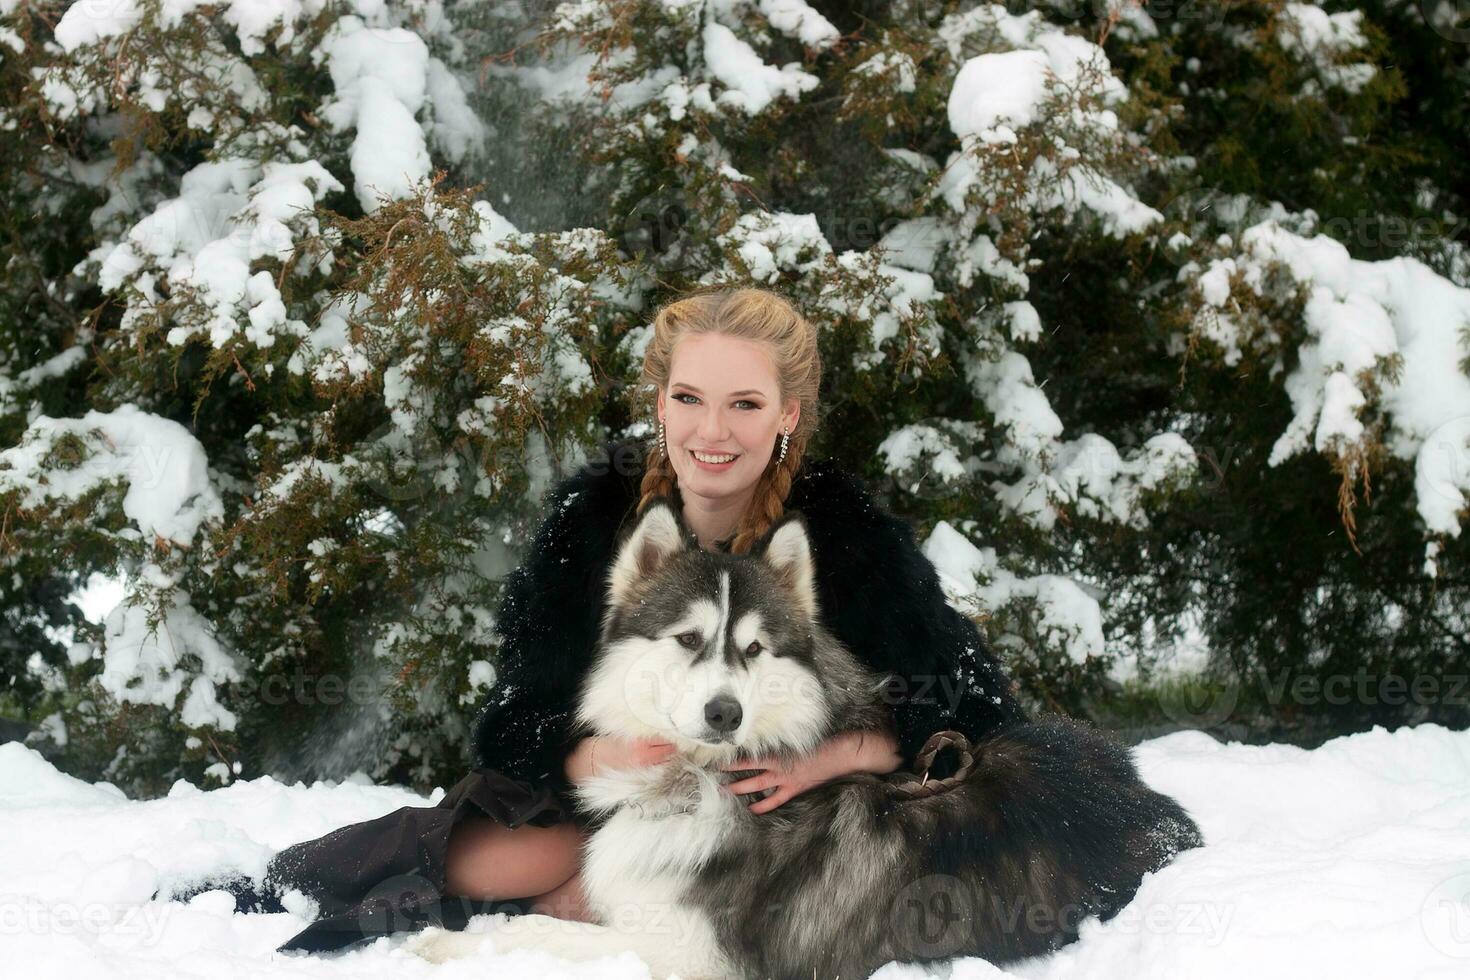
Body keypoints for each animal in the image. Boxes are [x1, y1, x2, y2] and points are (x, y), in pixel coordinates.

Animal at [405, 502, 1205, 975]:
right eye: (689, 638)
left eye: (755, 649)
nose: (724, 713)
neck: (708, 779)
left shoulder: (685, 955)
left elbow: (556, 936)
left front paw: (447, 943)